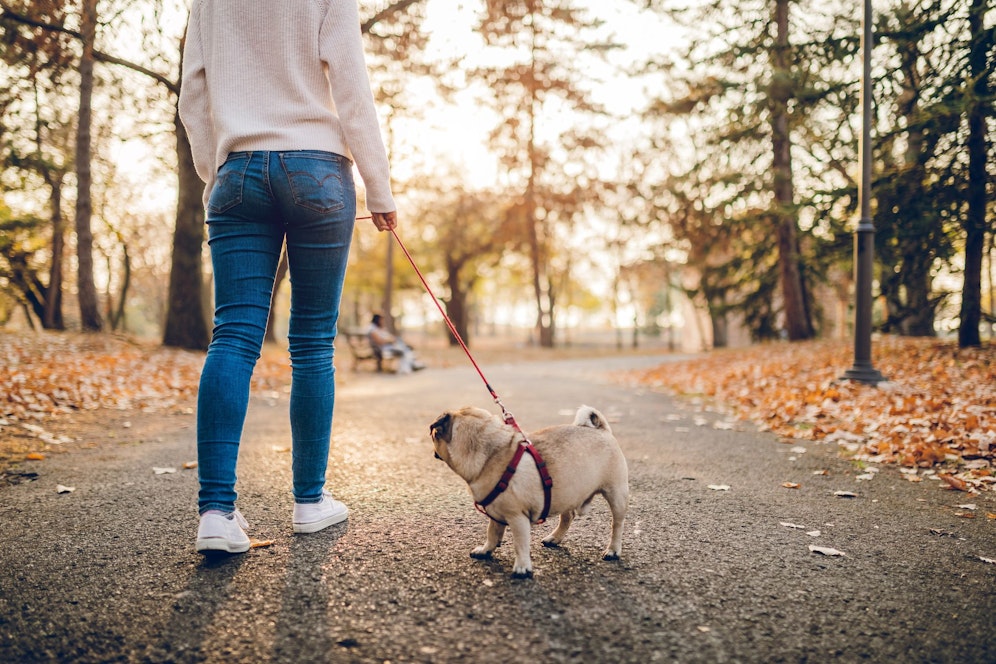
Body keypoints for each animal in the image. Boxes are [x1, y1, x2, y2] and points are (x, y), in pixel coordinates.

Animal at [430, 404, 632, 576]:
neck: (491, 453)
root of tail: (601, 430)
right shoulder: (495, 514)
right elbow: (492, 533)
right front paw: (486, 550)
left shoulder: (517, 518)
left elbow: (519, 544)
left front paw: (522, 568)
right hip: (568, 493)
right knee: (567, 517)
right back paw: (554, 538)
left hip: (616, 493)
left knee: (617, 524)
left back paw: (613, 550)